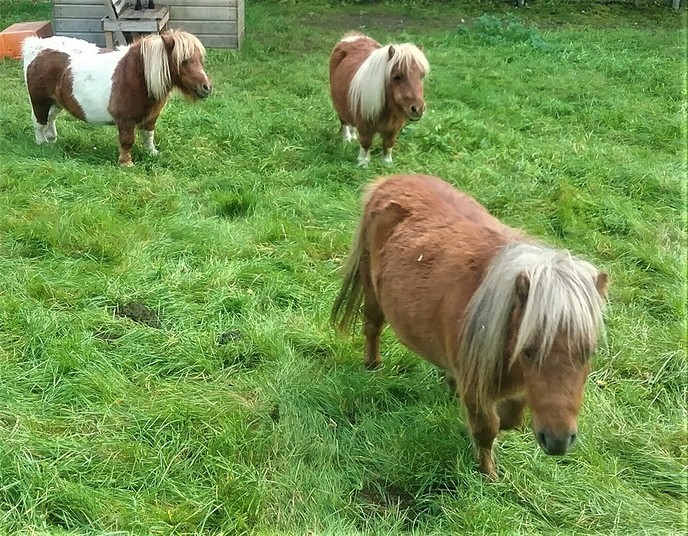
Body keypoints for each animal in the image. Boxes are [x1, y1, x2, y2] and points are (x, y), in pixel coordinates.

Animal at [22, 30, 211, 166]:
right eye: (184, 61)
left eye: (200, 59)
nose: (206, 88)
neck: (137, 74)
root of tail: (35, 46)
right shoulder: (125, 121)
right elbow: (127, 141)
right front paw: (126, 163)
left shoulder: (151, 117)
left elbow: (148, 135)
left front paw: (152, 153)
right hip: (40, 101)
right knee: (39, 122)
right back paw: (42, 144)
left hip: (56, 102)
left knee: (50, 119)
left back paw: (52, 140)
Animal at [328, 32, 429, 166]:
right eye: (397, 76)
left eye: (421, 75)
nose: (417, 109)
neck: (388, 109)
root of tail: (352, 37)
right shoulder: (365, 124)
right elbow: (366, 143)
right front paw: (363, 163)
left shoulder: (394, 127)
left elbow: (388, 144)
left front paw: (387, 163)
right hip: (339, 104)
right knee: (344, 122)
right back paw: (347, 139)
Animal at [331, 174, 608, 480]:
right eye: (528, 351)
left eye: (589, 352)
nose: (558, 441)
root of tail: (390, 181)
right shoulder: (478, 389)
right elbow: (487, 429)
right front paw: (488, 475)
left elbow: (510, 419)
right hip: (372, 291)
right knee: (372, 327)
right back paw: (373, 366)